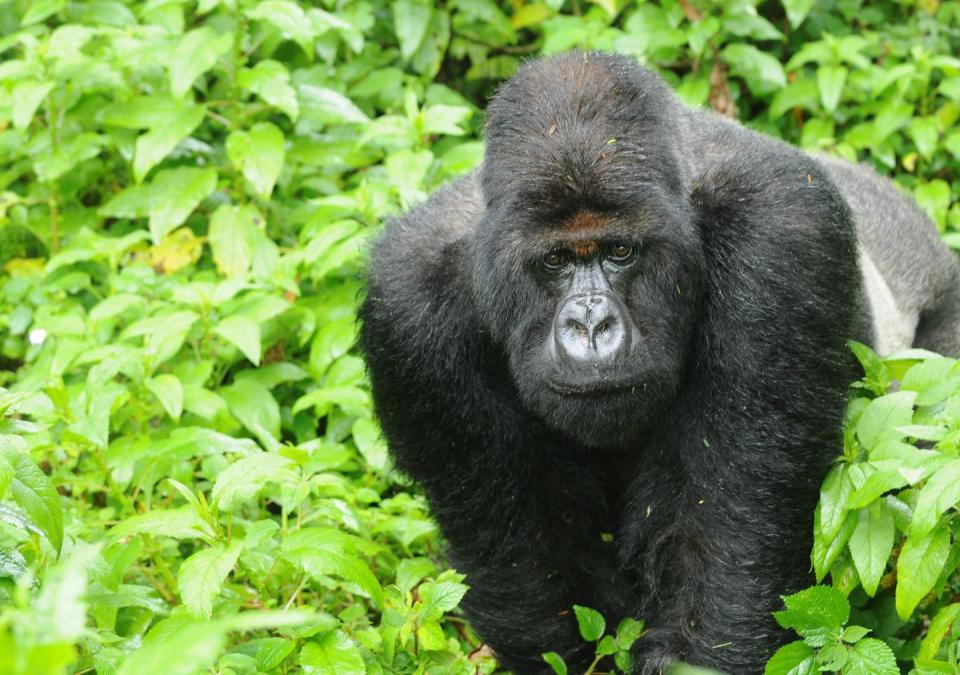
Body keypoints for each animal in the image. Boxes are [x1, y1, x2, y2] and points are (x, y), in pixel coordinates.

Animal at [356, 52, 960, 675]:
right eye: (554, 260)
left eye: (620, 251)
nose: (591, 327)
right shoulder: (408, 302)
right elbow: (525, 562)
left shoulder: (783, 233)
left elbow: (727, 537)